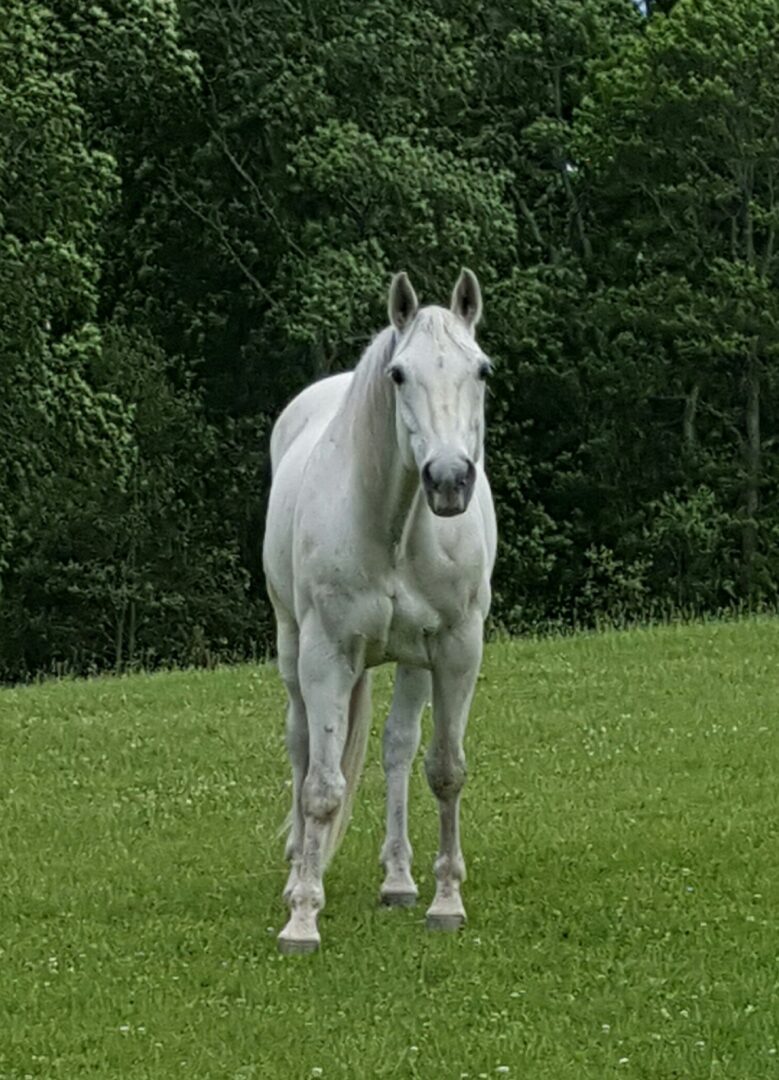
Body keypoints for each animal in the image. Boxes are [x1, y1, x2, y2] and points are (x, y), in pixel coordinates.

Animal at [264, 270, 494, 954]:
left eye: (482, 370)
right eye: (398, 375)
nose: (449, 480)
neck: (395, 528)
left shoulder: (457, 649)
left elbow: (444, 771)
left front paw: (446, 900)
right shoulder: (326, 656)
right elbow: (321, 788)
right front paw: (302, 917)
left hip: (413, 661)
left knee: (397, 748)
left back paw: (398, 879)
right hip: (293, 652)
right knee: (301, 749)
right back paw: (298, 871)